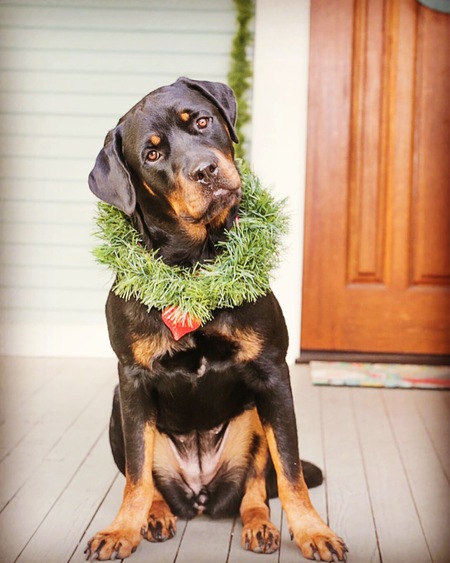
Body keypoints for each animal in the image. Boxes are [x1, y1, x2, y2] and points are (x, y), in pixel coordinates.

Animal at [86, 77, 350, 560]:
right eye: (152, 155)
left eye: (202, 122)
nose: (206, 170)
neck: (196, 266)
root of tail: (200, 494)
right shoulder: (132, 379)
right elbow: (136, 473)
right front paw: (121, 530)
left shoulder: (272, 372)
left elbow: (289, 470)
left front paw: (313, 531)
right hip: (117, 407)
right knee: (148, 479)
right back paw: (155, 516)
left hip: (254, 414)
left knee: (254, 487)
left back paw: (260, 525)